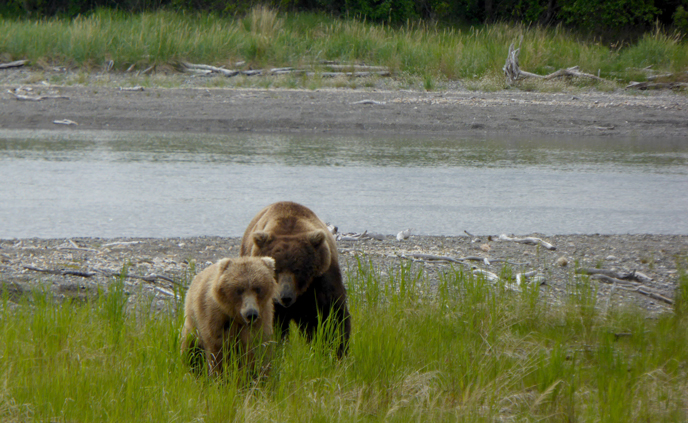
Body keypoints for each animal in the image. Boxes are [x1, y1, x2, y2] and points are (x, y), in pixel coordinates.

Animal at [241, 202, 350, 358]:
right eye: (276, 270)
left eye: (298, 270)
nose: (285, 297)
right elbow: (271, 324)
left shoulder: (321, 280)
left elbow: (332, 315)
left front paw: (336, 350)